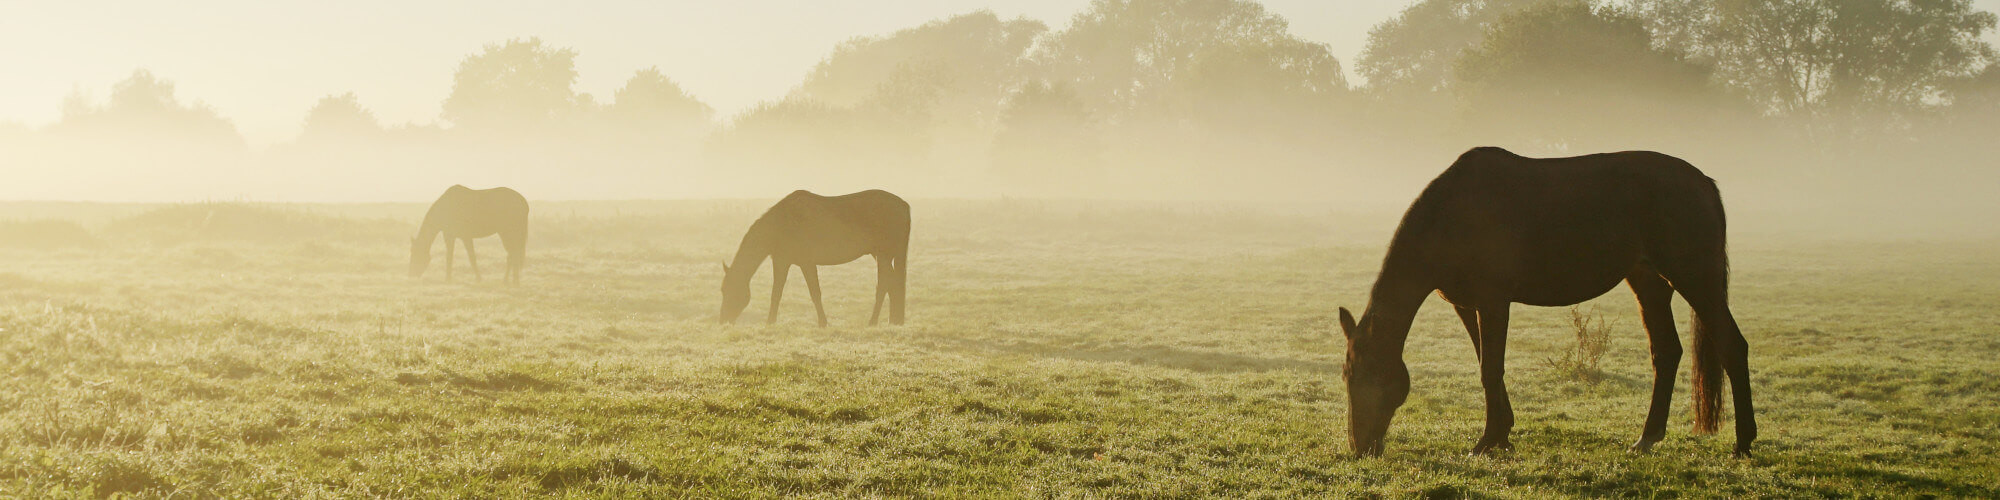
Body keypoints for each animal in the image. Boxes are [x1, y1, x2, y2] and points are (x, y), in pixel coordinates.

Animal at [728, 189, 916, 326]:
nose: (725, 319)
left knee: (885, 284)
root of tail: (904, 205)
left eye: (727, 290)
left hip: (884, 255)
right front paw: (771, 322)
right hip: (883, 256)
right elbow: (777, 292)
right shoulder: (782, 261)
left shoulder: (806, 263)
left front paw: (822, 322)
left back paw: (874, 321)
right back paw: (894, 320)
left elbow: (814, 292)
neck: (782, 224)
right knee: (891, 284)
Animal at [1336, 147, 1760, 458]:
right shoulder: (1467, 305)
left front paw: (1487, 441)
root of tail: (1704, 182)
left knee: (1732, 347)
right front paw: (1503, 434)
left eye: (1366, 376)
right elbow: (1486, 363)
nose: (1361, 448)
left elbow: (1490, 369)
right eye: (1346, 377)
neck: (1452, 215)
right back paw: (1647, 438)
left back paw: (1743, 442)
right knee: (1667, 352)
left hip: (1695, 279)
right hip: (1649, 282)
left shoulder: (1494, 301)